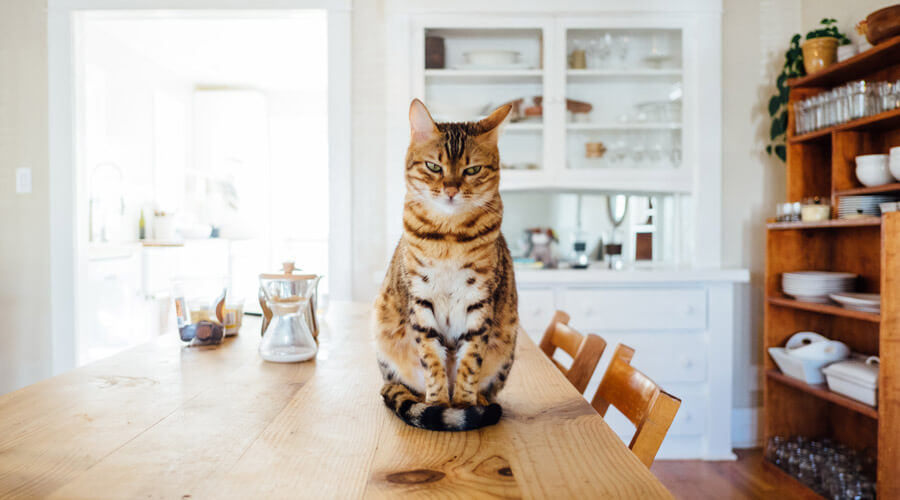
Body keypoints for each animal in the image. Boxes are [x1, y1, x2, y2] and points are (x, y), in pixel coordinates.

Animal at [374, 99, 520, 432]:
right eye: (433, 166)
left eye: (473, 169)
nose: (451, 190)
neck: (449, 237)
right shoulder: (420, 299)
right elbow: (431, 360)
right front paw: (438, 404)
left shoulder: (480, 301)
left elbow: (470, 362)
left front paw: (464, 405)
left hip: (507, 344)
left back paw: (480, 402)